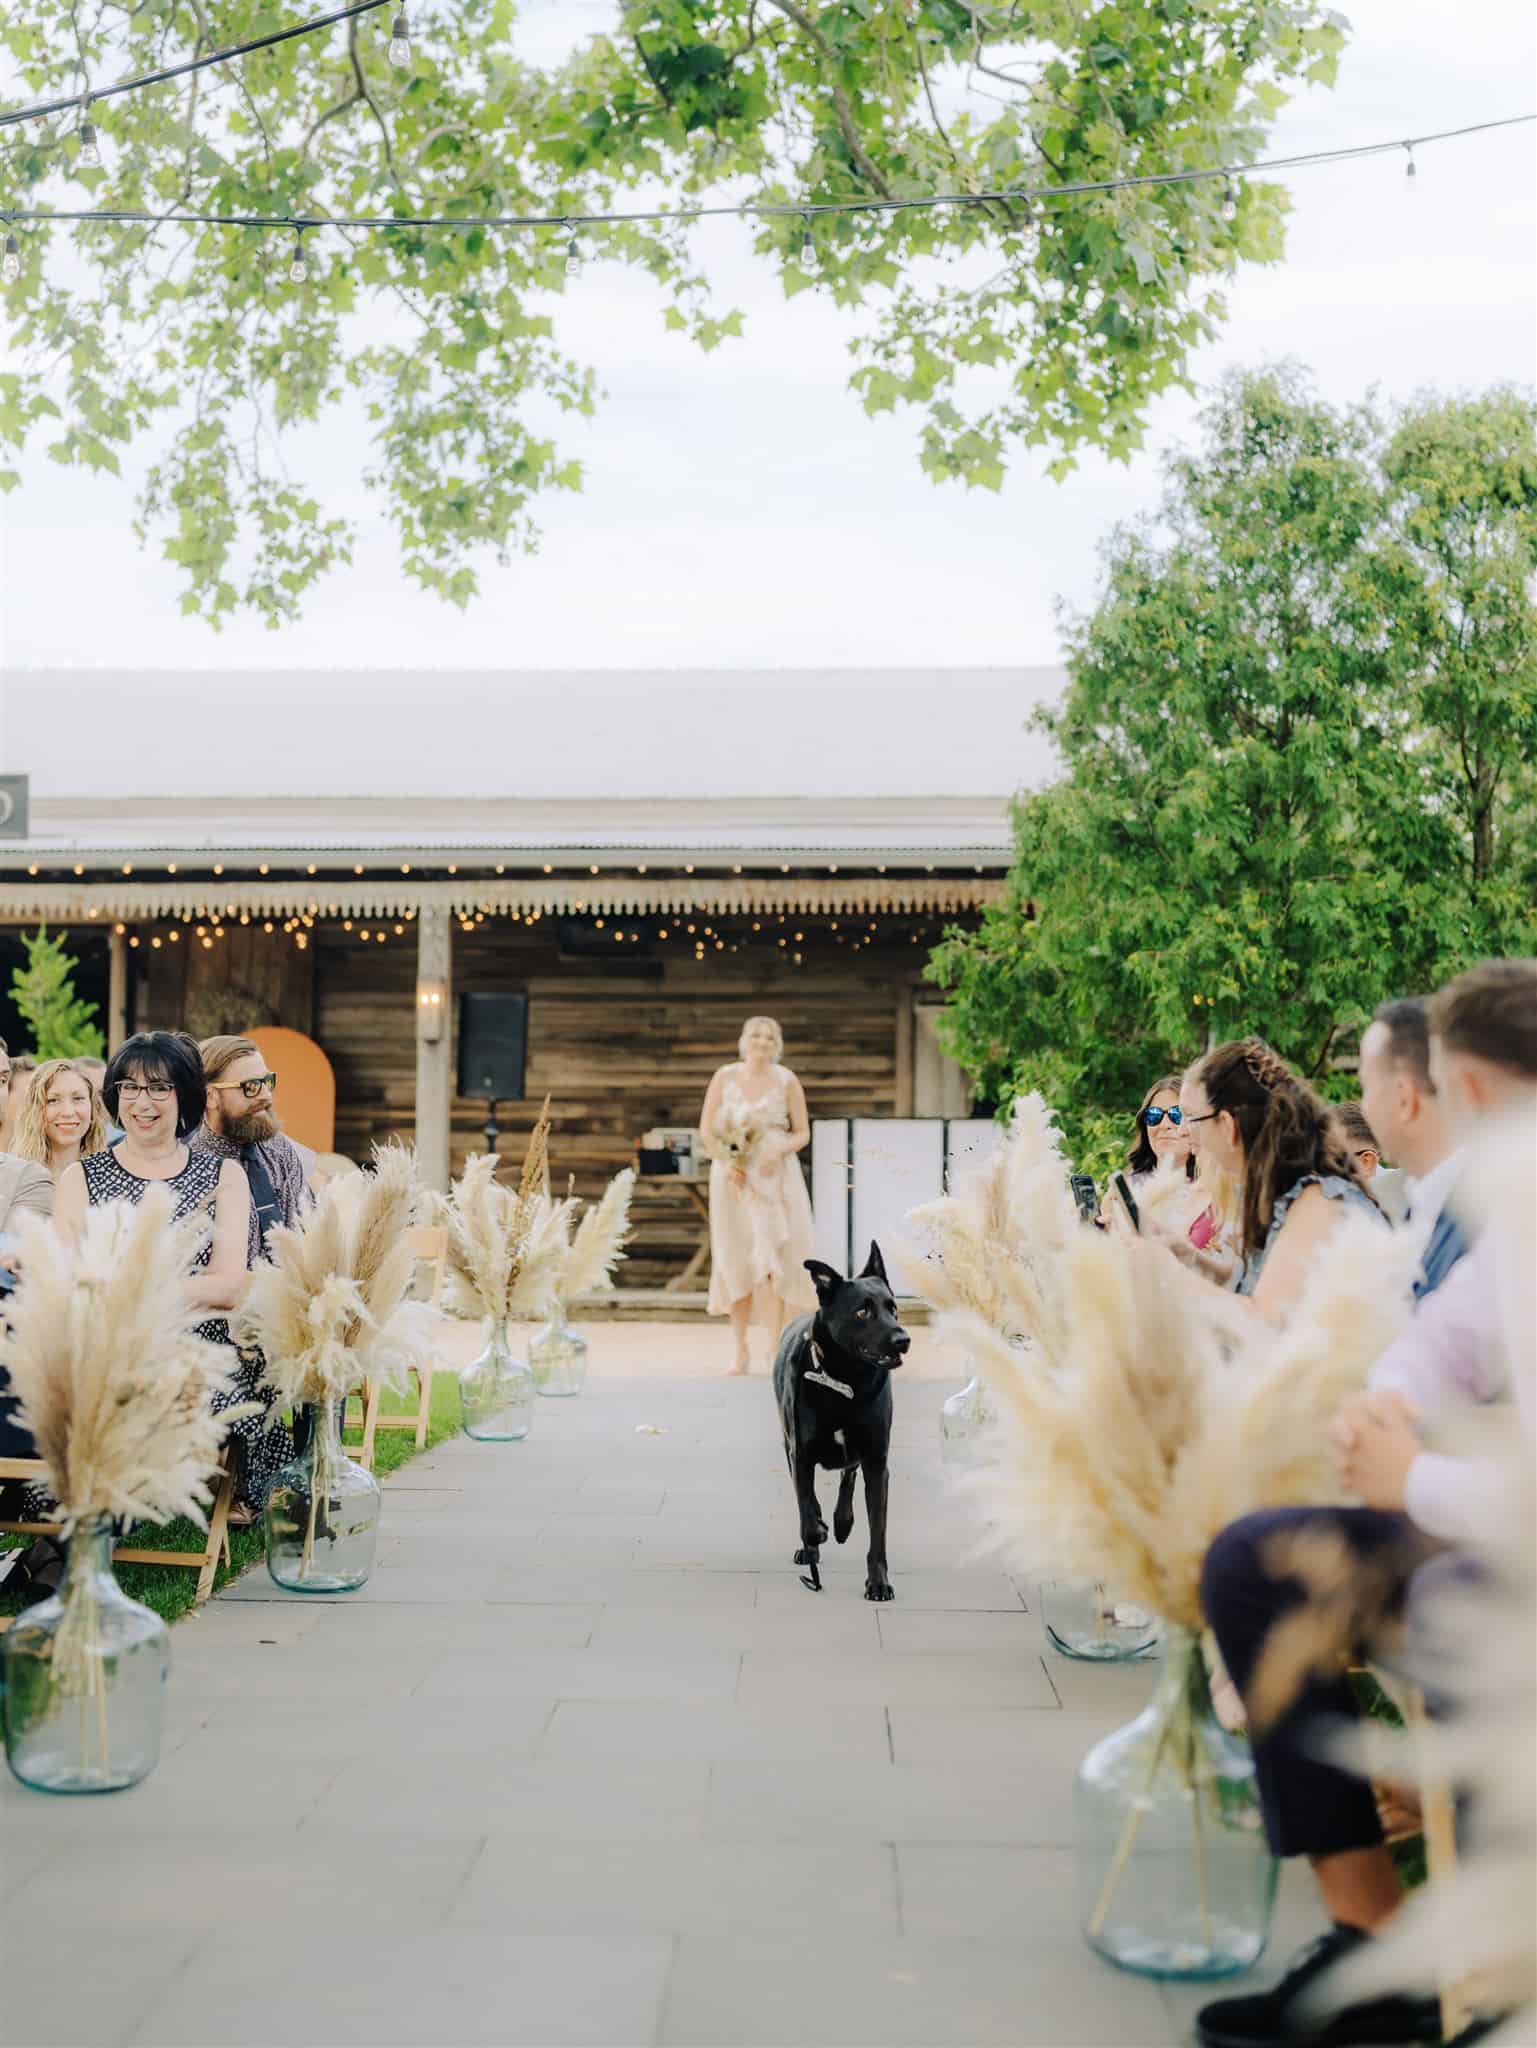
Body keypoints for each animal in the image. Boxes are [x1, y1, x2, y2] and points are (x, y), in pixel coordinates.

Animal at [770, 1245, 914, 1597]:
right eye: (862, 1312)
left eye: (893, 1308)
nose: (903, 1340)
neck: (847, 1381)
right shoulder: (800, 1453)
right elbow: (806, 1508)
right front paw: (815, 1535)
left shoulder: (877, 1462)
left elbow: (878, 1531)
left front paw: (878, 1583)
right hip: (788, 1444)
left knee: (848, 1475)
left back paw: (842, 1522)